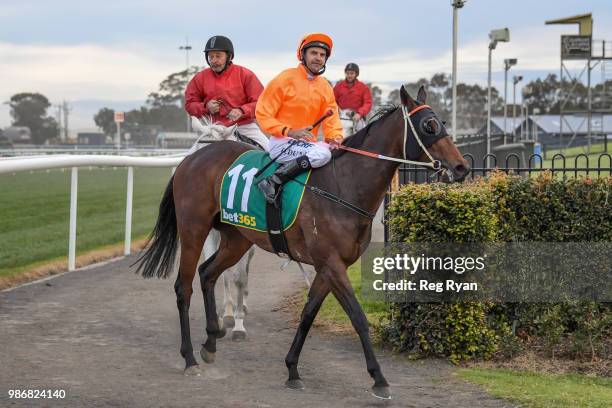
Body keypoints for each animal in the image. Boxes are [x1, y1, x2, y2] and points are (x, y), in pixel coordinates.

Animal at [135, 86, 468, 398]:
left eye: (441, 122)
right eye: (428, 126)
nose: (461, 167)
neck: (343, 186)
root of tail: (191, 158)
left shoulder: (328, 266)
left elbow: (308, 314)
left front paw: (292, 369)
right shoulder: (332, 264)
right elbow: (358, 317)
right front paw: (379, 379)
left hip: (237, 237)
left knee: (208, 273)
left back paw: (210, 343)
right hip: (194, 229)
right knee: (184, 286)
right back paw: (190, 357)